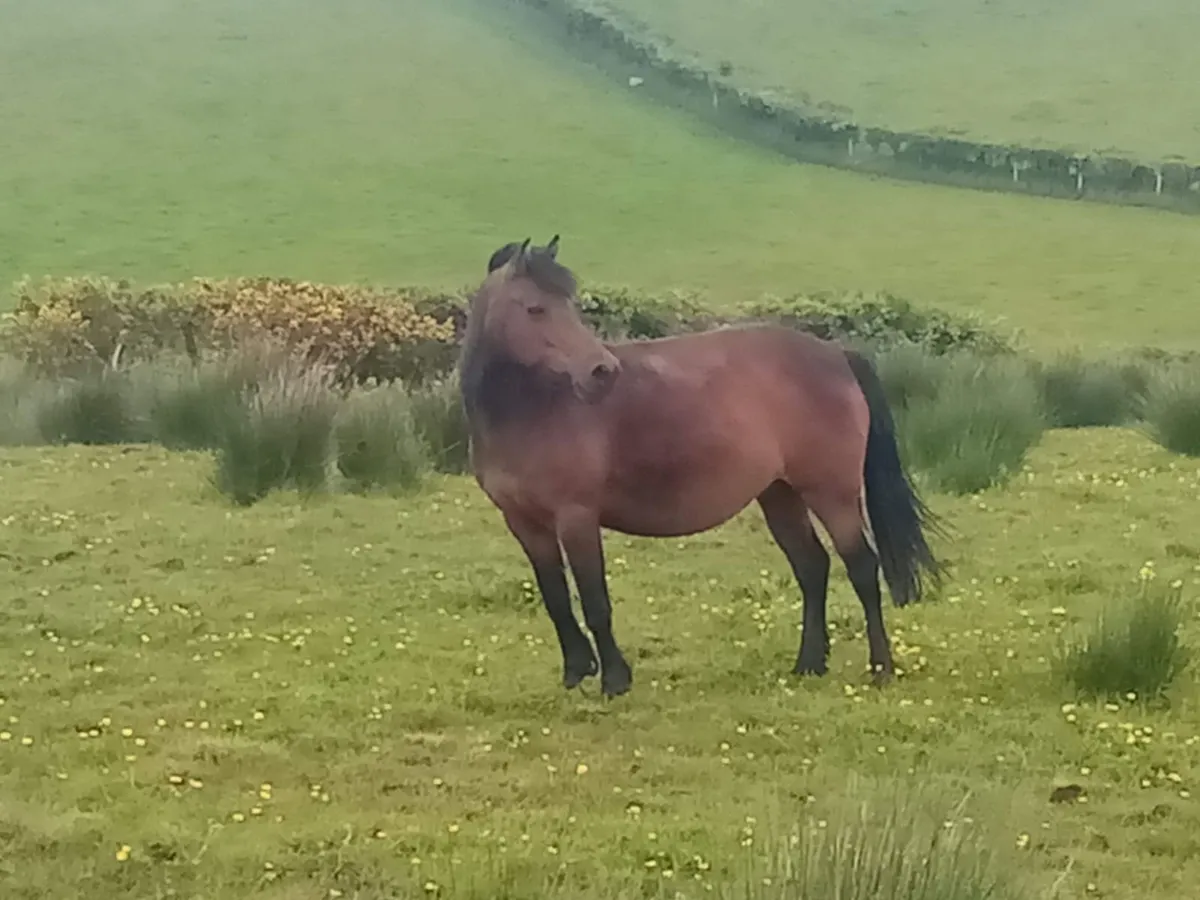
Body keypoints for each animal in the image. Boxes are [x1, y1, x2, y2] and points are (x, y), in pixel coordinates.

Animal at [459, 237, 944, 698]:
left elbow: (595, 601)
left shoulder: (576, 517)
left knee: (861, 567)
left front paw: (614, 679)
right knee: (812, 567)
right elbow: (556, 599)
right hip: (780, 494)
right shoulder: (524, 523)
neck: (534, 408)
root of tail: (836, 354)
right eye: (535, 308)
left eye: (571, 304)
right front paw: (576, 671)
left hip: (832, 494)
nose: (601, 371)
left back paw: (881, 669)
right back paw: (809, 664)